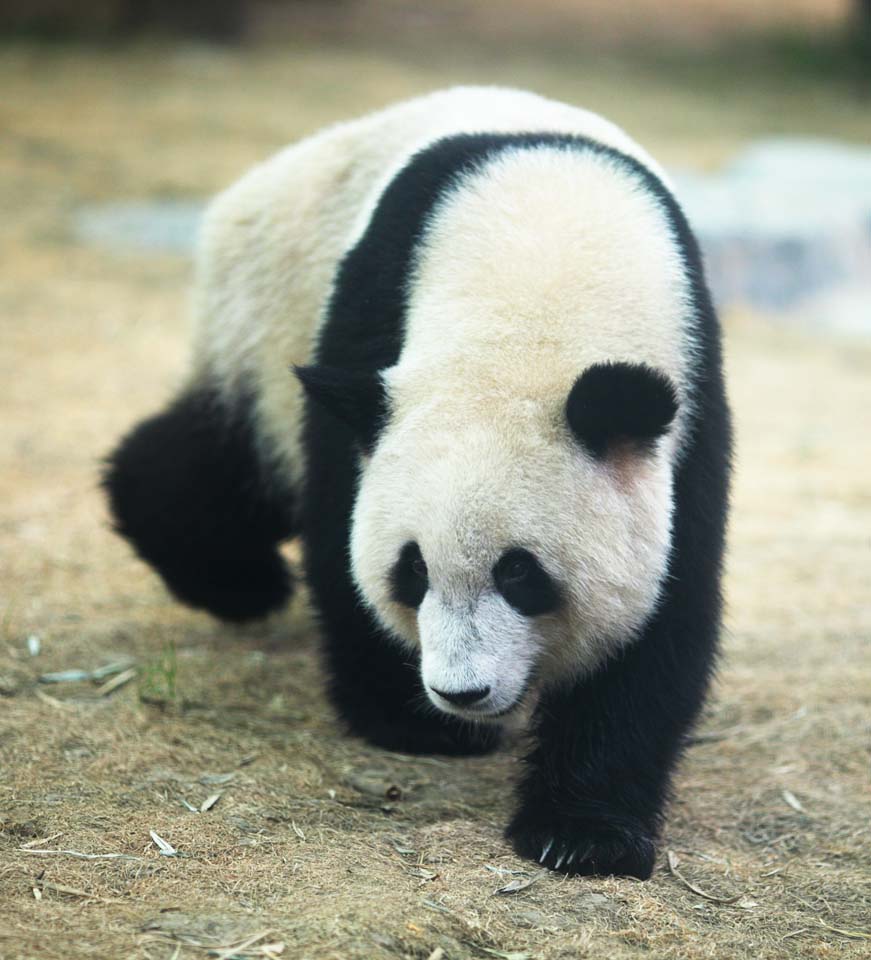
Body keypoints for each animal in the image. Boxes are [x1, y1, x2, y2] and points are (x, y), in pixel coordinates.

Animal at [102, 86, 732, 880]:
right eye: (412, 570)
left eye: (521, 574)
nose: (461, 693)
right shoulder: (368, 328)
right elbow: (337, 519)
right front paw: (408, 721)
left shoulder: (687, 402)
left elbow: (660, 618)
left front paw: (582, 833)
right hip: (262, 311)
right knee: (227, 462)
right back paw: (235, 581)